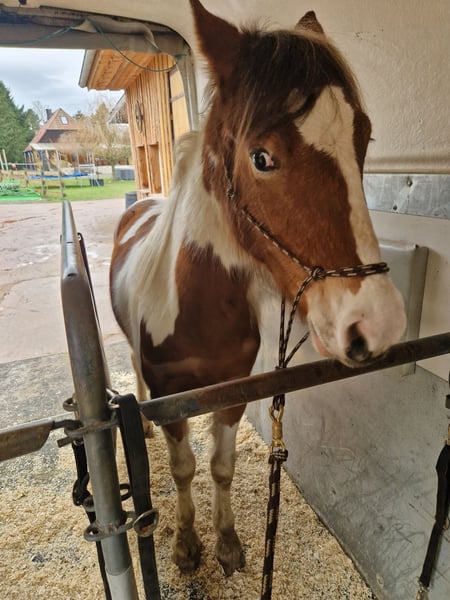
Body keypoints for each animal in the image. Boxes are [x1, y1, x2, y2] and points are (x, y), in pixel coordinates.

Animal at [110, 0, 406, 577]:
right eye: (261, 157)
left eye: (363, 139)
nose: (376, 322)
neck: (198, 312)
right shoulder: (173, 400)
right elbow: (184, 469)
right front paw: (186, 544)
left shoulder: (233, 394)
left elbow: (221, 467)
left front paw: (226, 541)